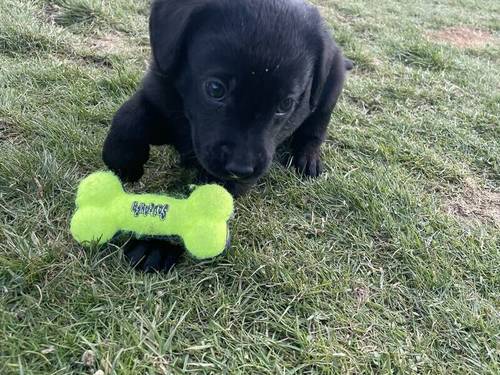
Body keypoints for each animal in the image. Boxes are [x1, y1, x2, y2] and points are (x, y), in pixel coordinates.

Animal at [101, 0, 352, 272]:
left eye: (285, 104)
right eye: (215, 88)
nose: (240, 169)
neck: (188, 124)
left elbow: (198, 204)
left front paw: (158, 244)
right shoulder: (159, 89)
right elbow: (127, 117)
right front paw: (127, 164)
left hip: (331, 88)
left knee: (317, 127)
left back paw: (308, 158)